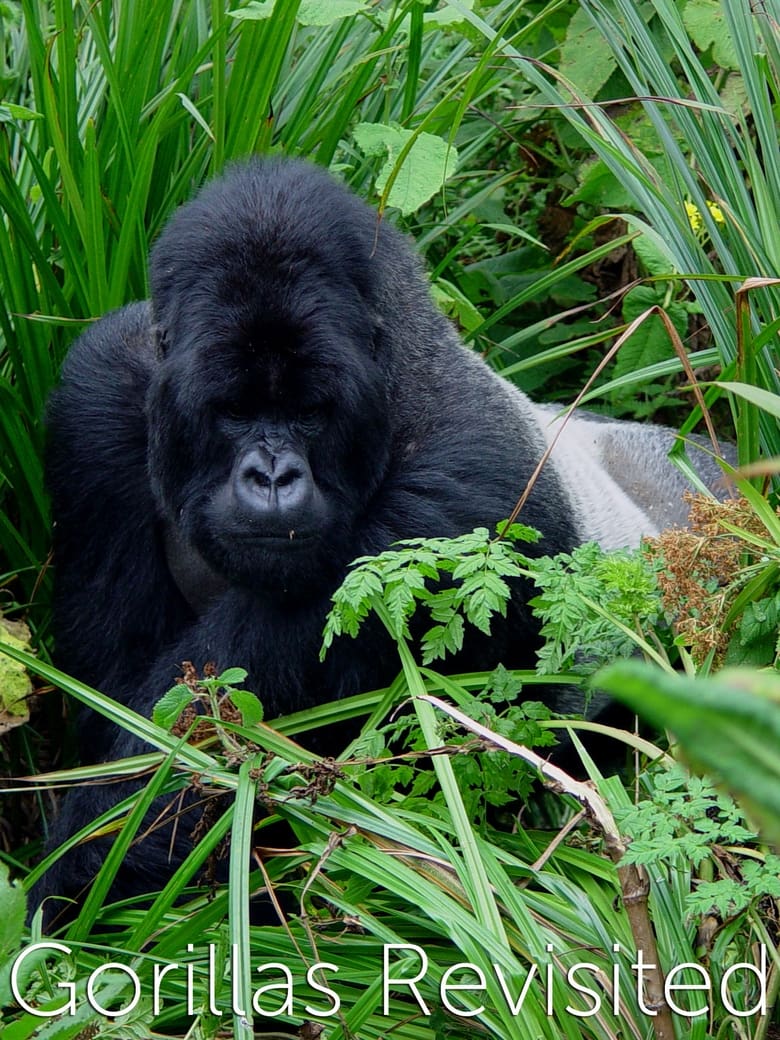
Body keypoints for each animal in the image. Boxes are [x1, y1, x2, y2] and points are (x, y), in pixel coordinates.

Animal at [39, 156, 728, 919]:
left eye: (311, 412)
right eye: (235, 409)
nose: (272, 476)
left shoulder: (461, 503)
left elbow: (190, 757)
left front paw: (65, 887)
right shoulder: (99, 390)